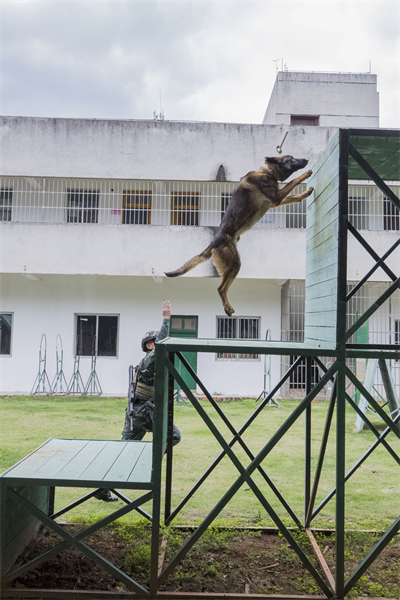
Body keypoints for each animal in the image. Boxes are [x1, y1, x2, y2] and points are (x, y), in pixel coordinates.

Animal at [164, 156, 314, 318]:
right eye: (291, 159)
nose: (306, 159)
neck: (269, 172)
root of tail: (214, 242)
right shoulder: (276, 198)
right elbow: (293, 181)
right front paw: (305, 175)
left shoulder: (275, 201)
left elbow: (293, 196)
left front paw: (304, 194)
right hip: (234, 263)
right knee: (221, 288)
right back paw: (227, 307)